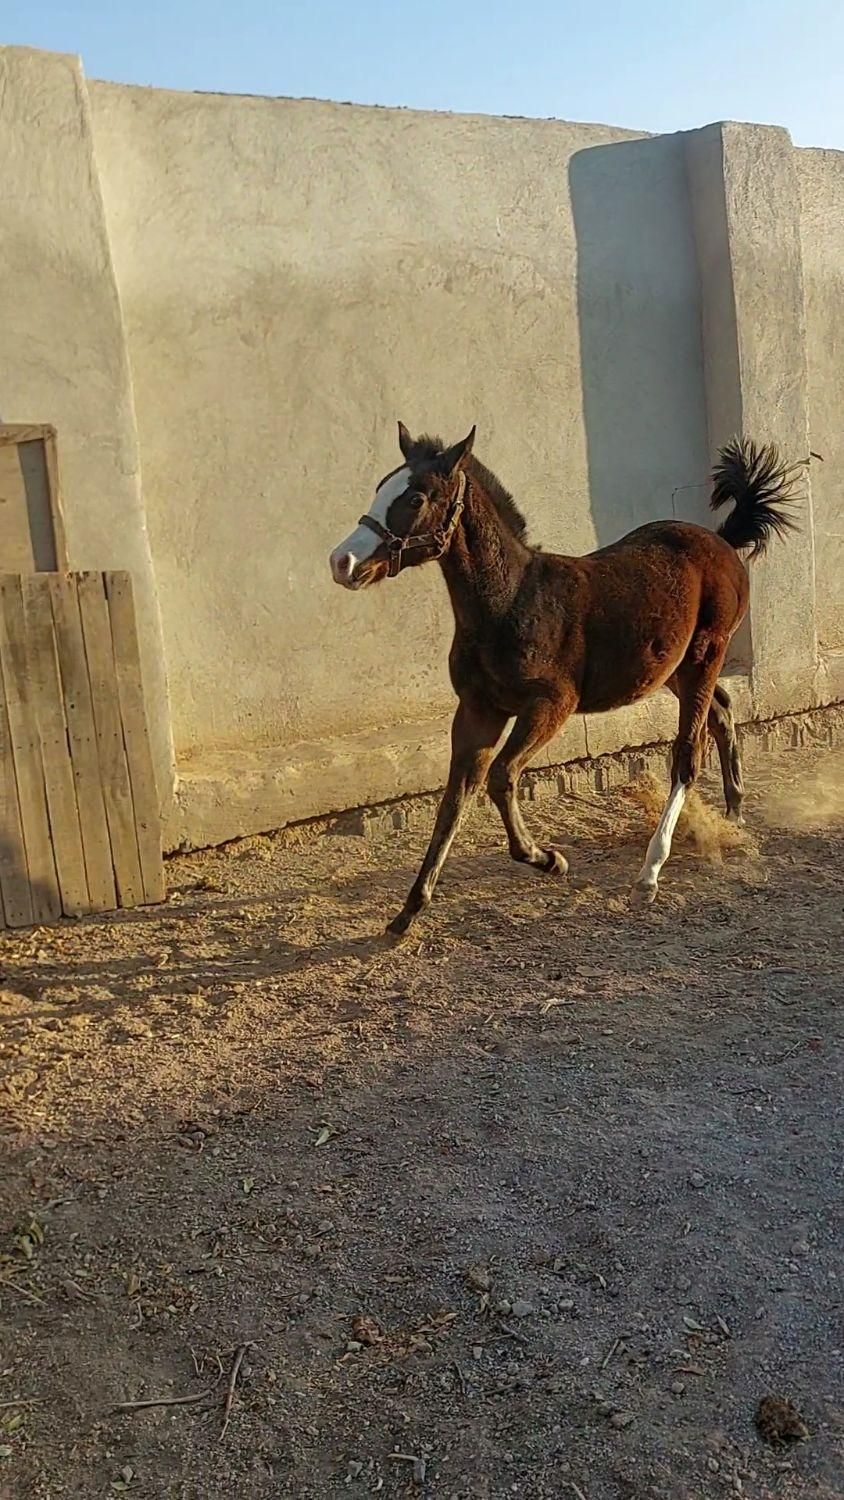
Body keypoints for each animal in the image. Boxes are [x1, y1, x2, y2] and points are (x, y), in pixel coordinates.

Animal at [328, 426, 797, 936]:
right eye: (380, 487)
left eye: (415, 497)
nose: (342, 562)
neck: (509, 602)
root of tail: (722, 540)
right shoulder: (477, 709)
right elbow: (455, 798)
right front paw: (408, 910)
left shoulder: (551, 704)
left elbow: (500, 778)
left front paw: (547, 858)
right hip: (672, 669)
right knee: (723, 711)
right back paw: (733, 815)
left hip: (704, 656)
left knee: (687, 755)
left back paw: (651, 872)